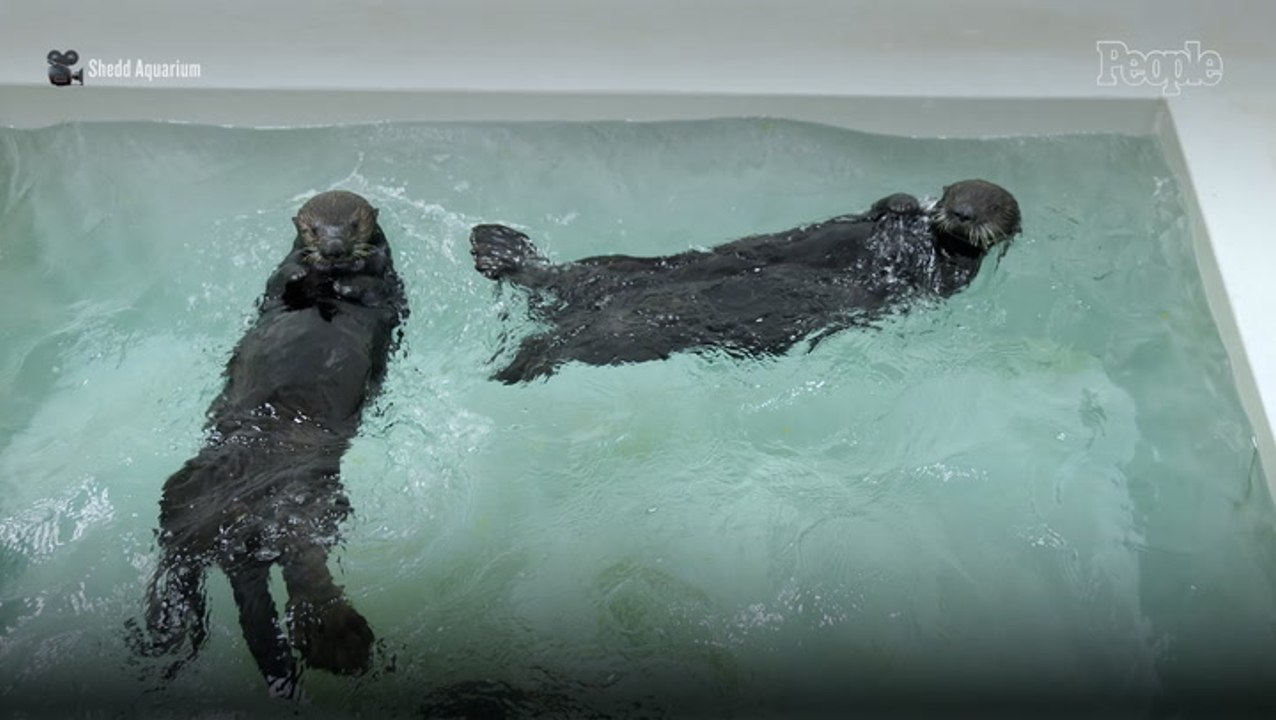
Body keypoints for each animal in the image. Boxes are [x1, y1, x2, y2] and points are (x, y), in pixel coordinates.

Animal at [137, 191, 407, 697]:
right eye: (314, 229)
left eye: (354, 224)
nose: (335, 249)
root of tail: (235, 532)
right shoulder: (277, 279)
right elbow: (283, 283)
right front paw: (306, 274)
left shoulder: (388, 289)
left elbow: (372, 289)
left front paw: (349, 279)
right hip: (183, 491)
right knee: (180, 552)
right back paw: (170, 618)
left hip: (312, 498)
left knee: (304, 563)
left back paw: (334, 641)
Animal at [470, 179, 1020, 383]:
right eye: (955, 195)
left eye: (987, 208)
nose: (959, 213)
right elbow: (880, 208)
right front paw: (902, 207)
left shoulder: (948, 274)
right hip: (616, 270)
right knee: (566, 276)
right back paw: (496, 249)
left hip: (623, 335)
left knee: (567, 339)